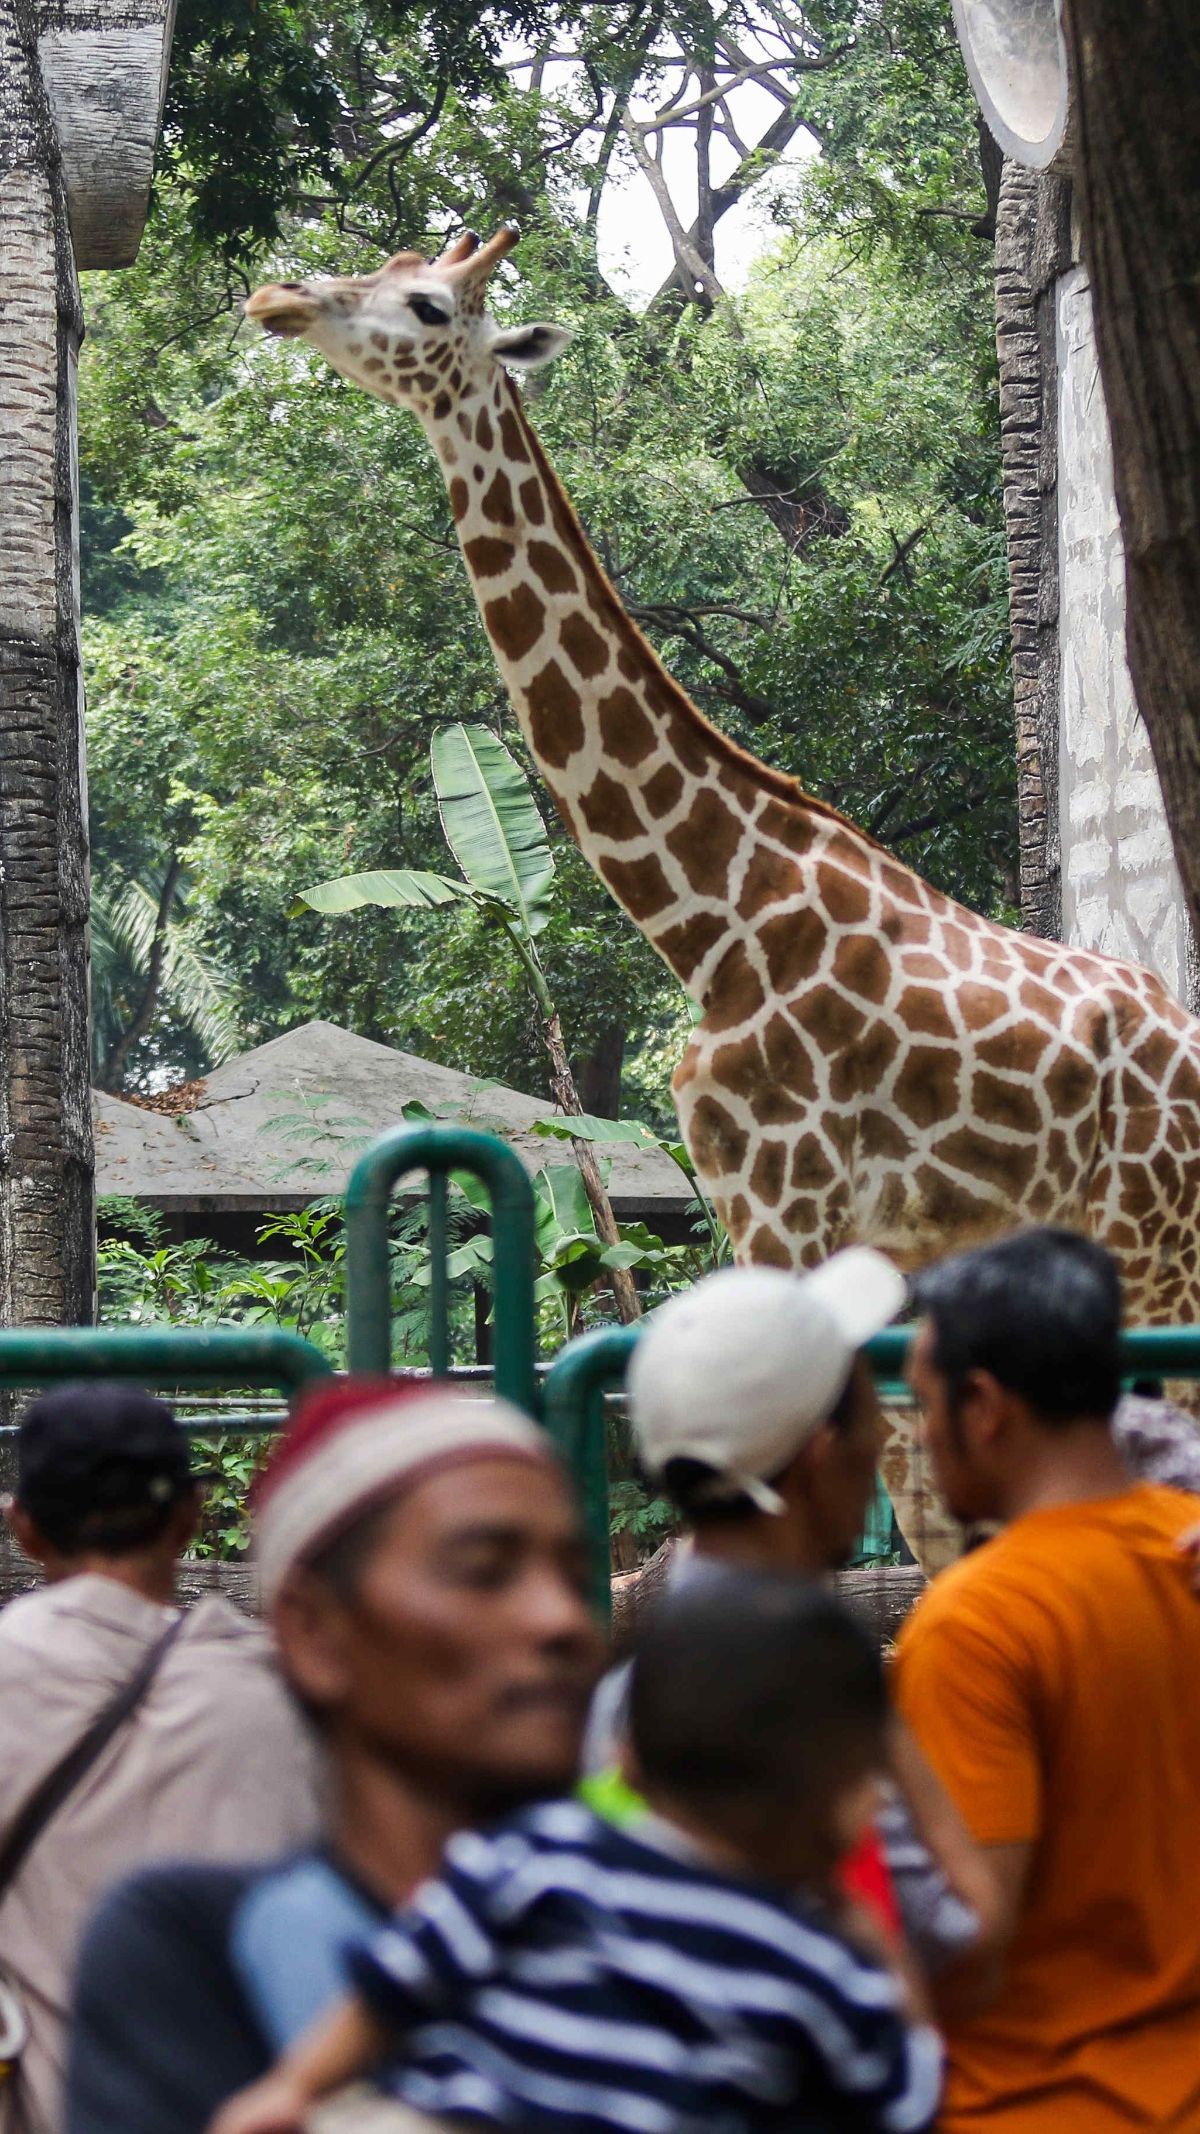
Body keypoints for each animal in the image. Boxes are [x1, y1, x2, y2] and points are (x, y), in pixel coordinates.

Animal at [245, 229, 1200, 1570]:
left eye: (428, 303)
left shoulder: (790, 1211)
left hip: (1161, 1251)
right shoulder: (818, 1230)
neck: (713, 920)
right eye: (379, 262)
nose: (277, 295)